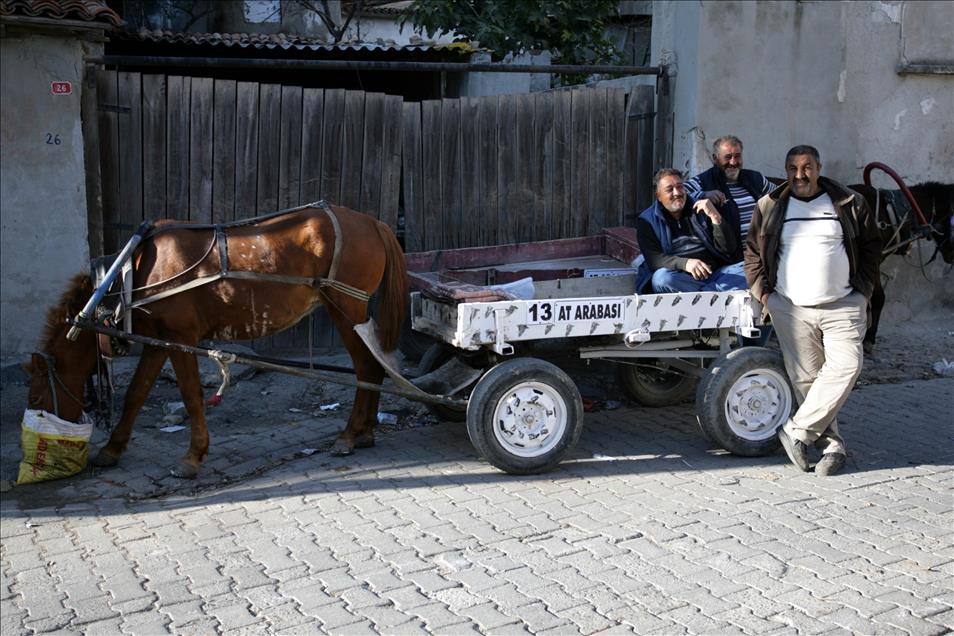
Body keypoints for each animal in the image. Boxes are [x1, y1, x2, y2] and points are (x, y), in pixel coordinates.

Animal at [25, 202, 406, 476]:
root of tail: (373, 223)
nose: (39, 428)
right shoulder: (158, 341)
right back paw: (366, 432)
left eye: (38, 391)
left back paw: (350, 434)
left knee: (367, 369)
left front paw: (193, 456)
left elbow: (191, 395)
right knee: (374, 368)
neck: (130, 272)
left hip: (346, 308)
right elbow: (136, 393)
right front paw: (112, 449)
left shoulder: (181, 337)